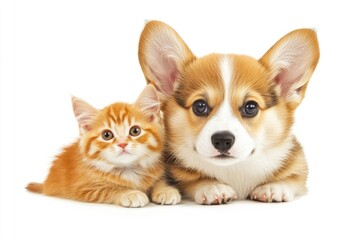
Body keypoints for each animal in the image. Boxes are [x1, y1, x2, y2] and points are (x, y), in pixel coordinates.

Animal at [26, 85, 181, 207]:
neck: (128, 169)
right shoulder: (84, 189)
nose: (122, 143)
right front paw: (131, 194)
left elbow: (158, 181)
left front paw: (166, 190)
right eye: (107, 135)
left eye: (135, 131)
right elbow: (110, 189)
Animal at [137, 21, 318, 204]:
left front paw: (273, 187)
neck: (234, 170)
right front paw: (212, 186)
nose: (223, 140)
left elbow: (293, 178)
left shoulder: (298, 164)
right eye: (199, 106)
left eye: (251, 107)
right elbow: (193, 180)